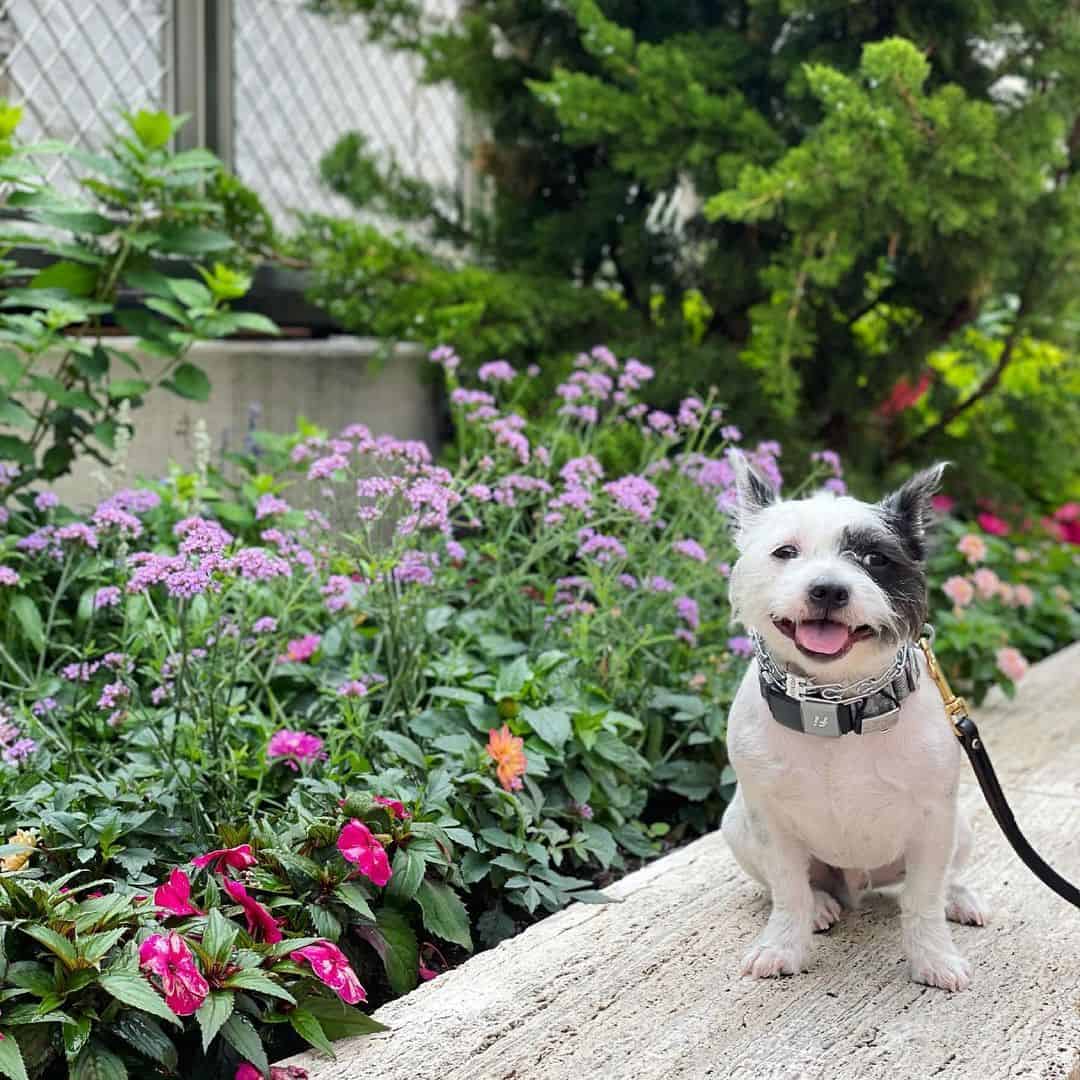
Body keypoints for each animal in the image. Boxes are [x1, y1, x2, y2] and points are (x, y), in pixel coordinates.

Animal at [717, 451, 989, 989]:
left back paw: (960, 898)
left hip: (961, 827)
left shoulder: (934, 822)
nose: (827, 589)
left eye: (874, 559)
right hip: (736, 826)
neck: (836, 704)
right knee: (799, 885)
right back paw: (822, 905)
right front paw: (784, 946)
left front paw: (933, 957)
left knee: (943, 879)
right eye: (785, 552)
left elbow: (923, 900)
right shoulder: (769, 822)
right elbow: (787, 890)